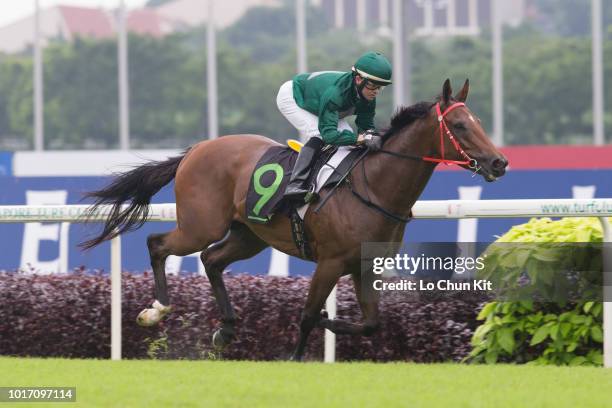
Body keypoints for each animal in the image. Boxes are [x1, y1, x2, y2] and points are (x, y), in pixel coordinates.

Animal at [83, 79, 510, 360]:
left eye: (478, 122)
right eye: (459, 125)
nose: (498, 163)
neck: (375, 187)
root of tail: (196, 149)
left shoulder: (364, 265)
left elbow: (371, 323)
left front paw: (329, 323)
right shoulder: (330, 262)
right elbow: (305, 316)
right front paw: (297, 353)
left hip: (249, 235)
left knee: (211, 260)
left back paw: (226, 329)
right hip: (201, 225)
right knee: (158, 245)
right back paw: (157, 309)